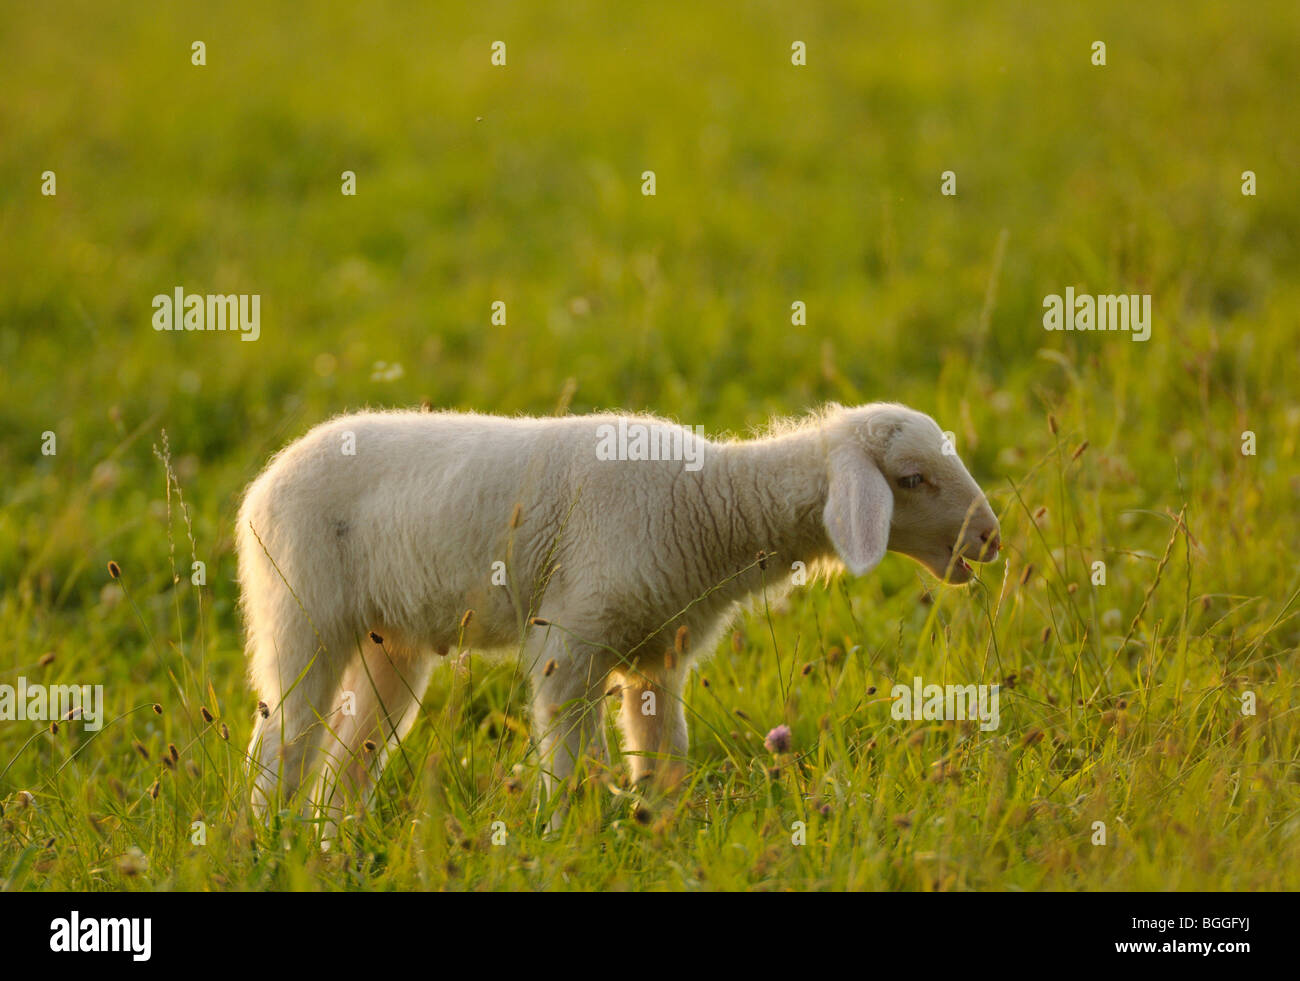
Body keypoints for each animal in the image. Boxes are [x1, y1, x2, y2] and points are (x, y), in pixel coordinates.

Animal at [236, 402, 1003, 831]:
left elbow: (664, 753)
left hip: (390, 643)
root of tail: (263, 480)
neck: (711, 506)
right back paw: (265, 842)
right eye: (911, 479)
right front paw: (570, 839)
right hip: (300, 611)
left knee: (348, 760)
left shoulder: (658, 653)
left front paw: (662, 832)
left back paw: (332, 846)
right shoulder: (569, 642)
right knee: (284, 741)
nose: (991, 538)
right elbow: (577, 764)